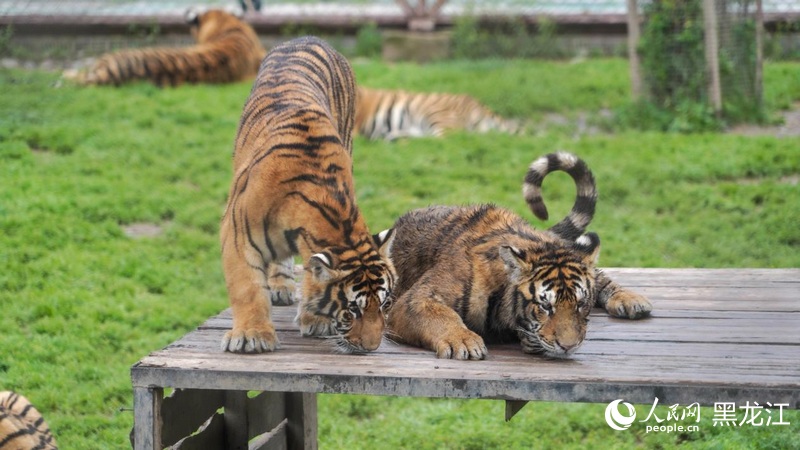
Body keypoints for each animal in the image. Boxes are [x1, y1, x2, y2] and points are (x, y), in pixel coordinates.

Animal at [219, 37, 396, 356]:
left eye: (385, 303)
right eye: (353, 310)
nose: (371, 347)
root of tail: (306, 38)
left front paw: (316, 320)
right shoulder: (236, 234)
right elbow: (247, 288)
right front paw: (252, 336)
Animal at [384, 153, 652, 360]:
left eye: (580, 304)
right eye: (545, 306)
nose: (568, 347)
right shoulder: (416, 299)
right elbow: (441, 316)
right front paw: (463, 341)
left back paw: (631, 300)